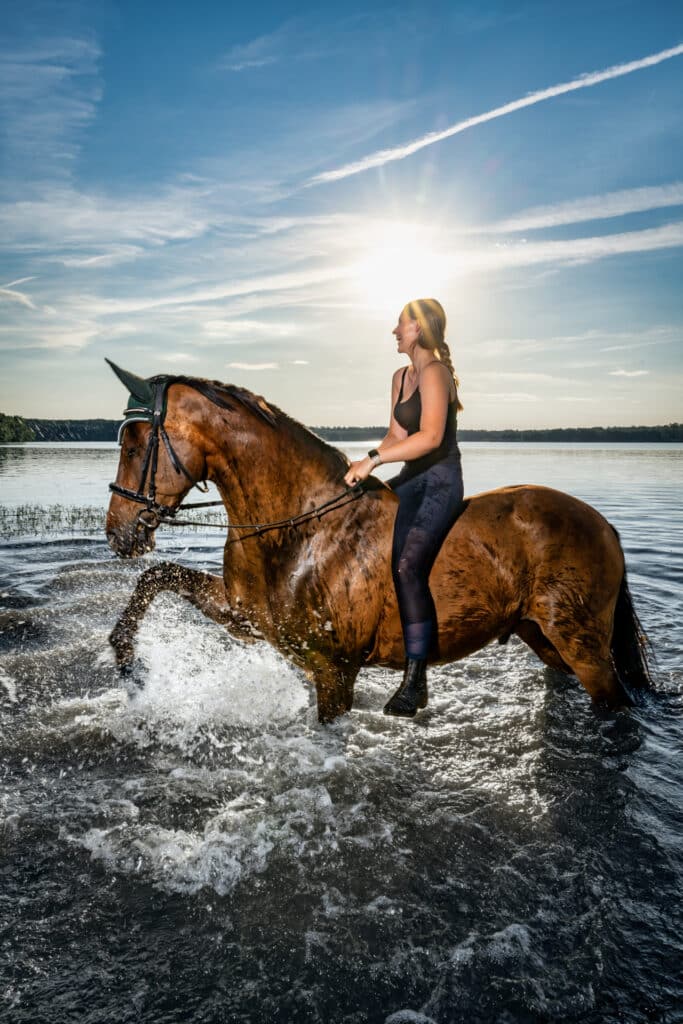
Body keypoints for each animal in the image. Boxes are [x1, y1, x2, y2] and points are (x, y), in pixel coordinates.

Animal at [105, 364, 651, 724]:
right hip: (542, 636)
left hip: (582, 645)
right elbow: (157, 576)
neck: (300, 528)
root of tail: (602, 524)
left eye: (134, 445)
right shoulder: (248, 616)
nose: (118, 533)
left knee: (617, 704)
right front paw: (127, 659)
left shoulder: (333, 670)